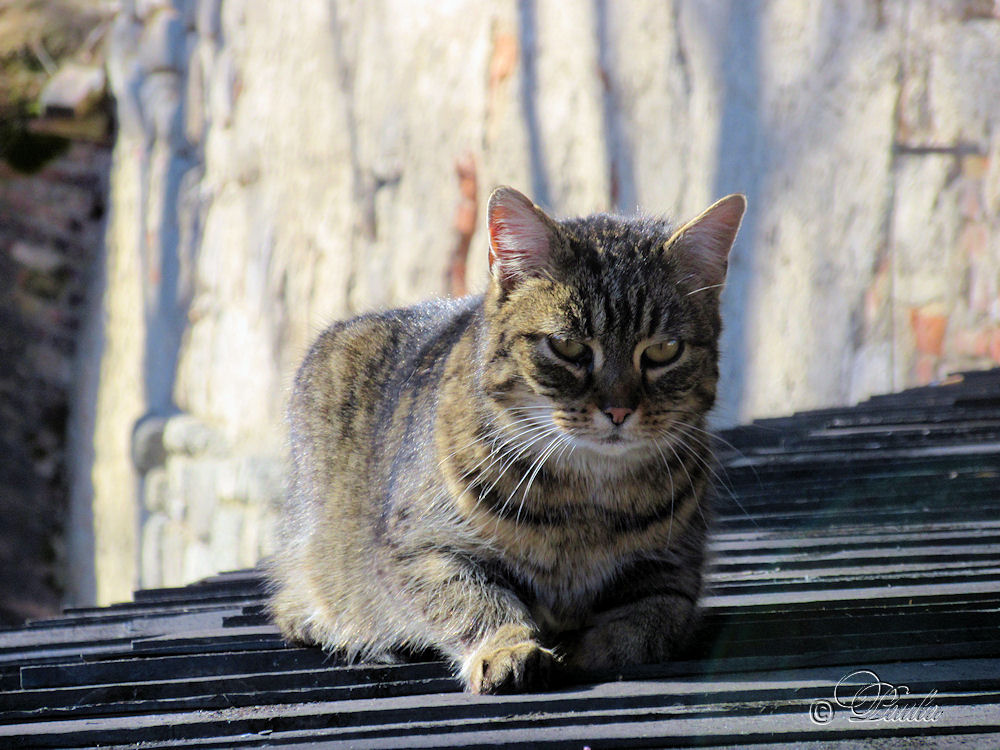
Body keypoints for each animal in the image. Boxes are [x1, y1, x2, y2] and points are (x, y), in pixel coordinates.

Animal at [266, 185, 744, 696]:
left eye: (663, 351)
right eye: (568, 346)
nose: (618, 410)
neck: (587, 503)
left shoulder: (673, 568)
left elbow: (645, 624)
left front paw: (588, 649)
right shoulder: (421, 548)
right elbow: (476, 602)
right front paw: (509, 647)